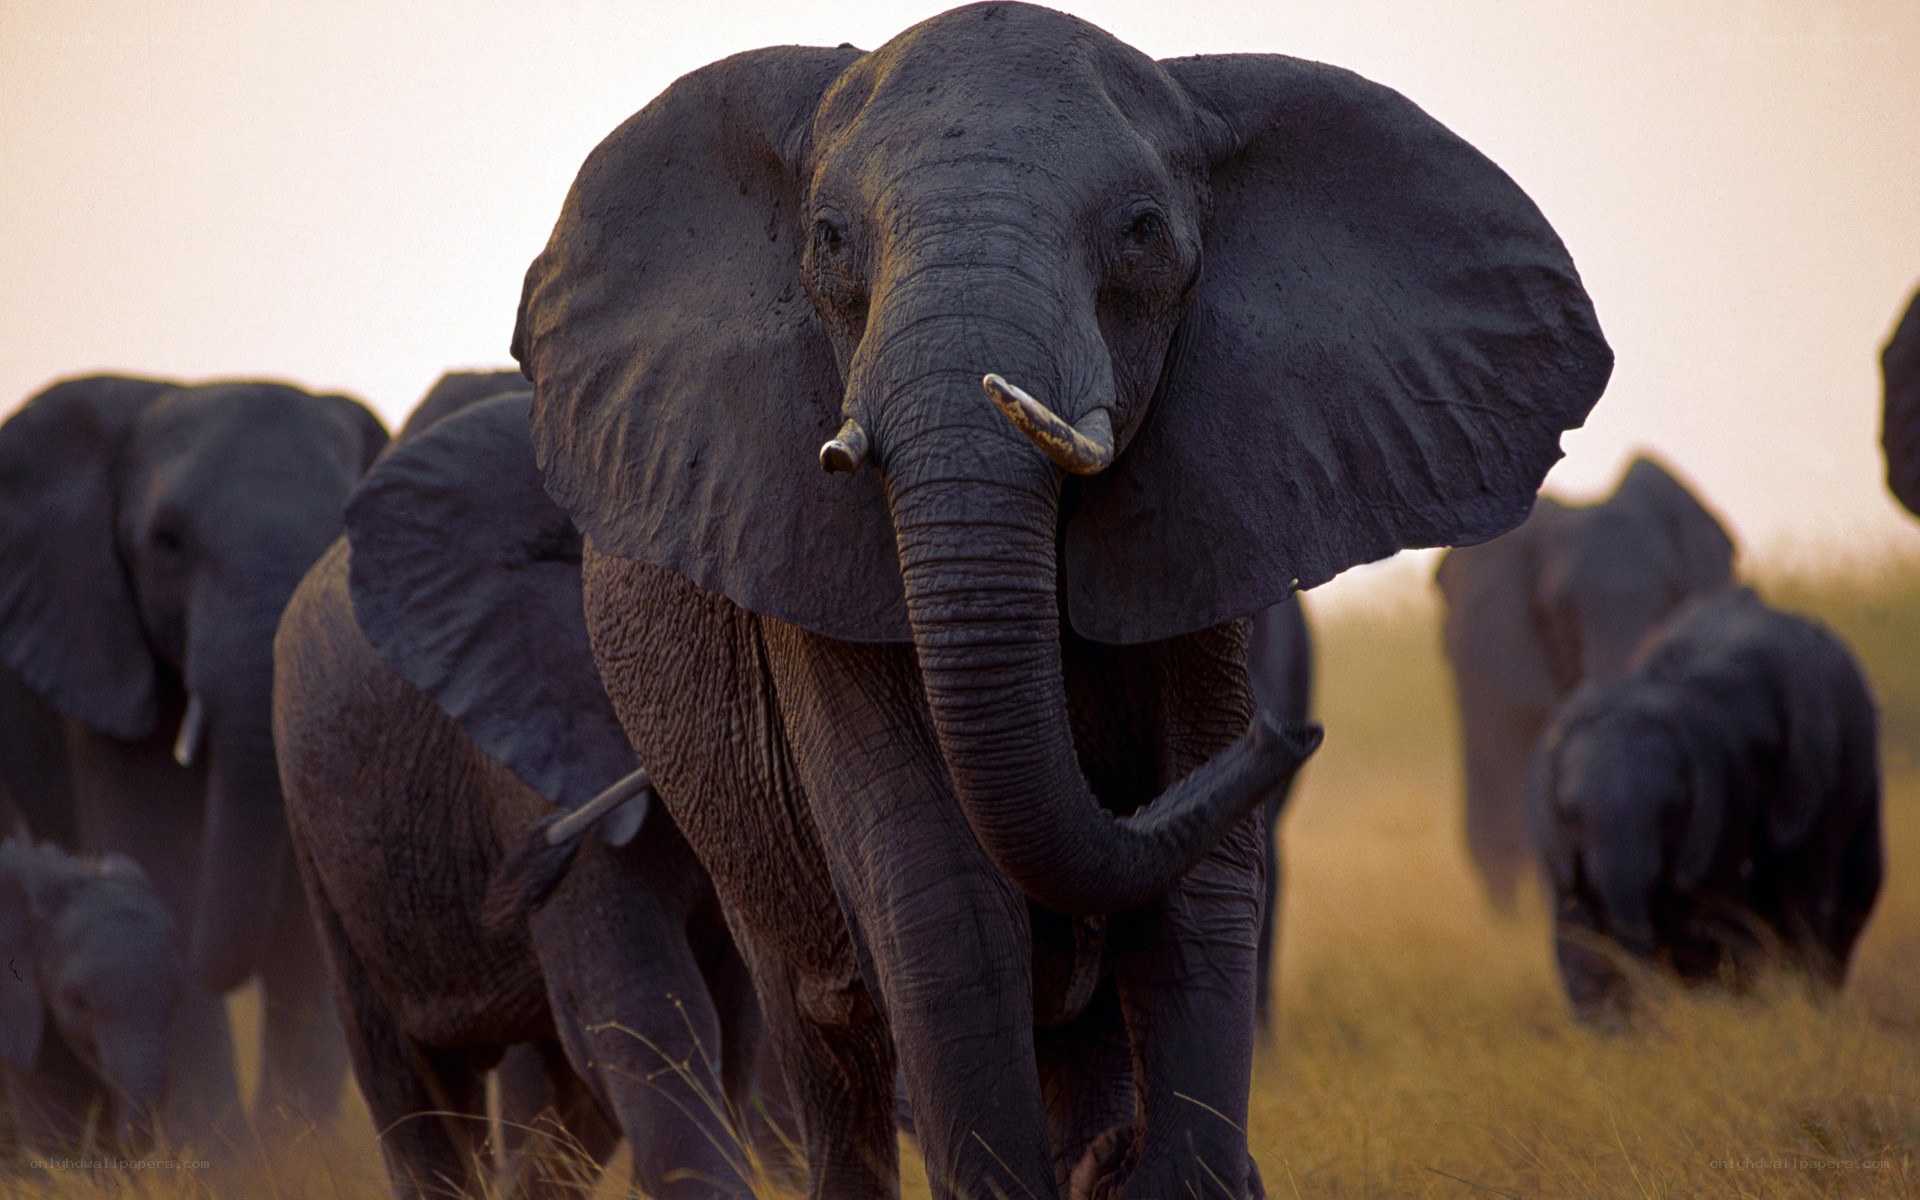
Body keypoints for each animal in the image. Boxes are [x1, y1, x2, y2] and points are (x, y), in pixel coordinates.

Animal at [275, 390, 763, 1200]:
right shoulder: (541, 732)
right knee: (411, 1082)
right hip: (318, 827)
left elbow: (723, 1026)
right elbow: (640, 1009)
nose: (525, 871)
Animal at [510, 6, 1610, 1198]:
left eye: (1140, 233)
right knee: (824, 1046)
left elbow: (1194, 886)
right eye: (832, 243)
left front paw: (1166, 1175)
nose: (1294, 730)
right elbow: (942, 898)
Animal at [1528, 587, 1883, 1027]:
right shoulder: (1557, 847)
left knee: (1849, 900)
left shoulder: (1800, 780)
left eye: (1672, 809)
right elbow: (1577, 929)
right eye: (1570, 813)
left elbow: (1775, 914)